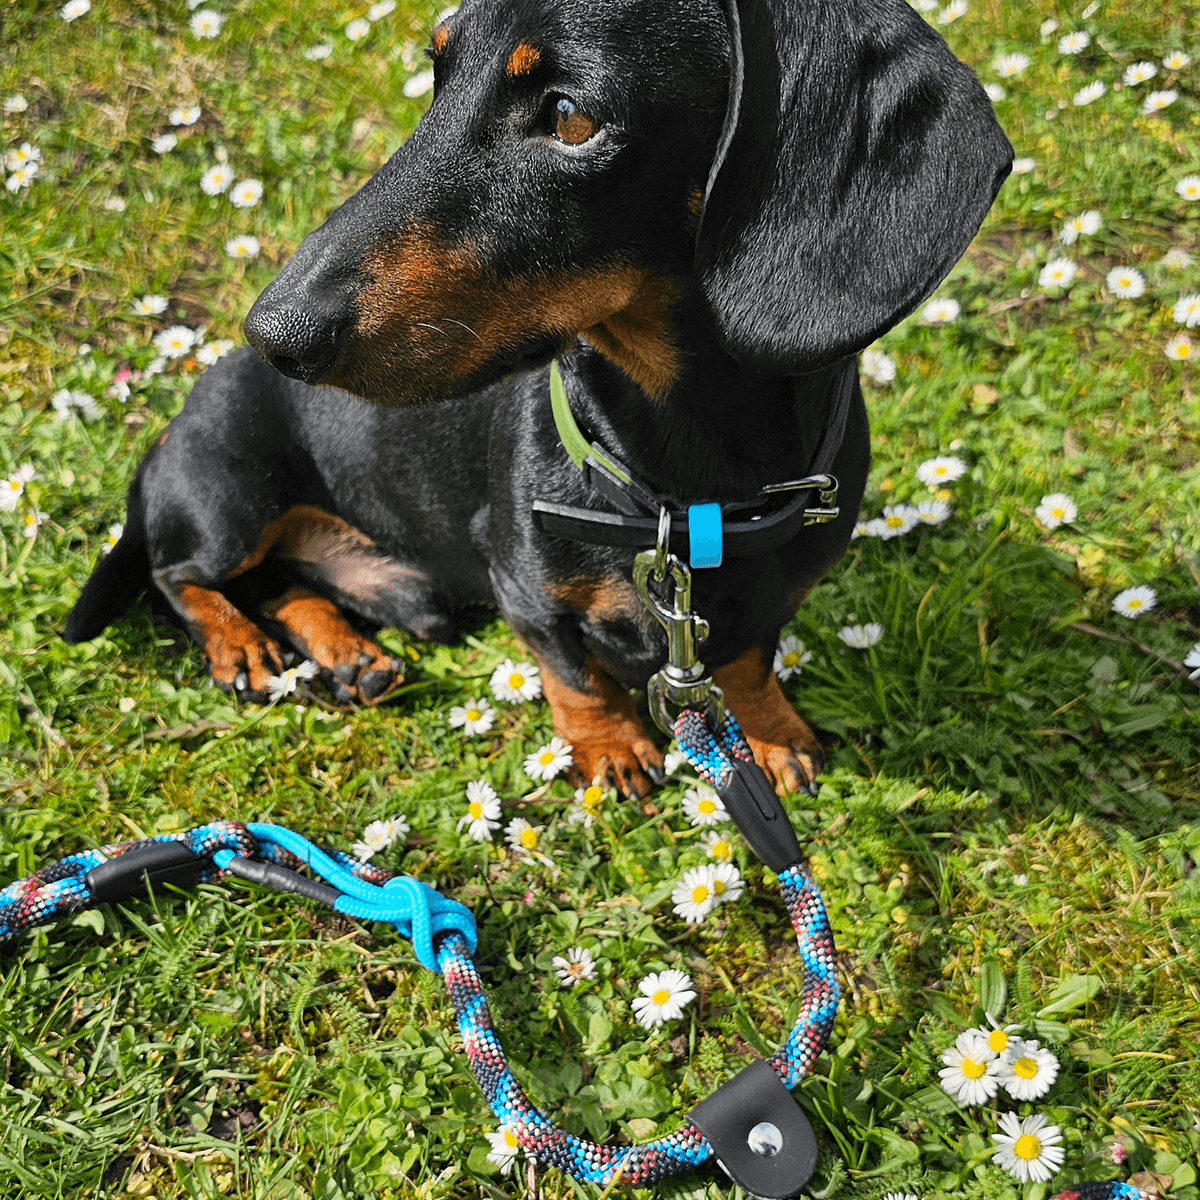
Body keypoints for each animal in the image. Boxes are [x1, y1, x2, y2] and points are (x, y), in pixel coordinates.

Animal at [63, 0, 1003, 796]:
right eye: (438, 73)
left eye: (571, 116)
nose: (276, 333)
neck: (680, 484)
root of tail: (169, 431)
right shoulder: (521, 584)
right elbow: (571, 670)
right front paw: (612, 750)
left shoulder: (773, 596)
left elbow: (746, 661)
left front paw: (769, 734)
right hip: (230, 497)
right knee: (182, 575)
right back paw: (242, 648)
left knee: (279, 583)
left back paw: (346, 652)